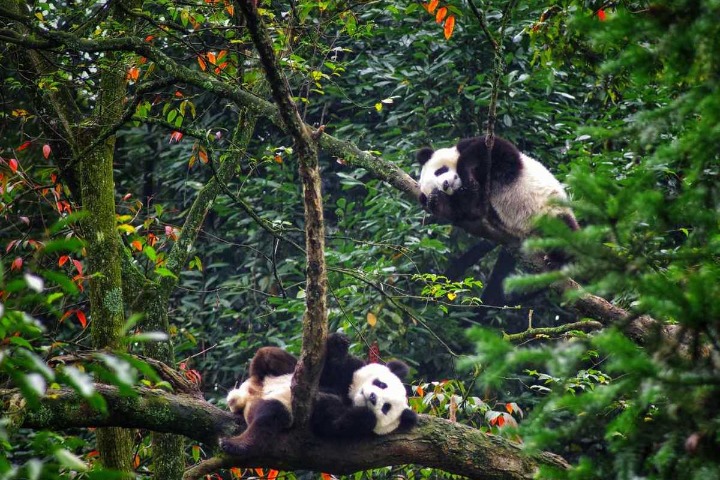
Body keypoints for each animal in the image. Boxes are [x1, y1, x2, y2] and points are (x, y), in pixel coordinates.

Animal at [220, 333, 417, 456]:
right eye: (381, 384)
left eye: (386, 407)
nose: (372, 397)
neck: (350, 397)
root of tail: (251, 394)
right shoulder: (347, 371)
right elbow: (331, 369)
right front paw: (338, 343)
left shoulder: (350, 428)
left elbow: (333, 423)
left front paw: (326, 400)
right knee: (269, 355)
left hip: (278, 409)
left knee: (269, 417)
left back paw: (235, 445)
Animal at [417, 136, 579, 239]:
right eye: (435, 188)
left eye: (439, 171)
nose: (445, 184)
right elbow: (467, 211)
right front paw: (435, 201)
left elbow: (493, 150)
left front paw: (467, 172)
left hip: (552, 211)